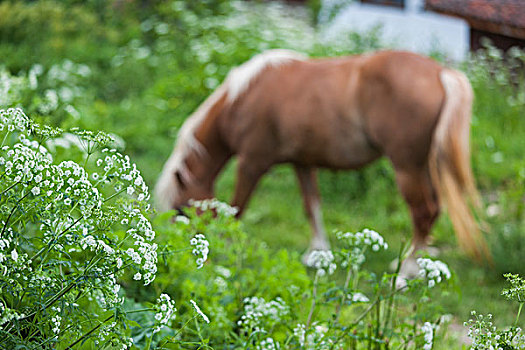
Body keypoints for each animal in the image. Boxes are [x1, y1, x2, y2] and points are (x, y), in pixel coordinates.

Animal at [156, 49, 488, 266]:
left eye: (181, 209)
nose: (180, 249)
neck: (244, 98)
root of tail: (442, 73)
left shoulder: (252, 163)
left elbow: (237, 209)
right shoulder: (303, 163)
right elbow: (311, 205)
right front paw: (318, 253)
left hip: (407, 167)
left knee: (423, 212)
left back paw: (405, 273)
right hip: (425, 167)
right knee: (433, 211)